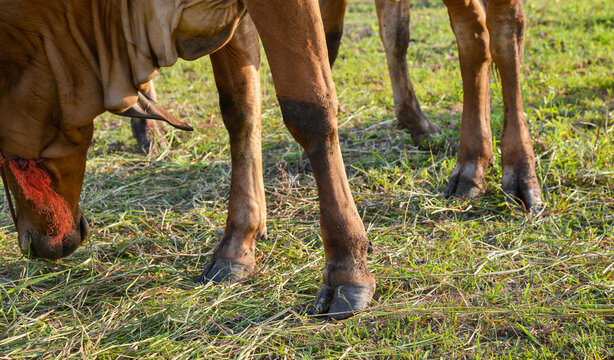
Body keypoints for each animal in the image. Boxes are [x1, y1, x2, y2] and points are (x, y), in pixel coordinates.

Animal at [0, 0, 376, 320]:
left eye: (8, 158)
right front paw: (237, 245)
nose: (27, 243)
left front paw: (348, 268)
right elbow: (240, 109)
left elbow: (309, 111)